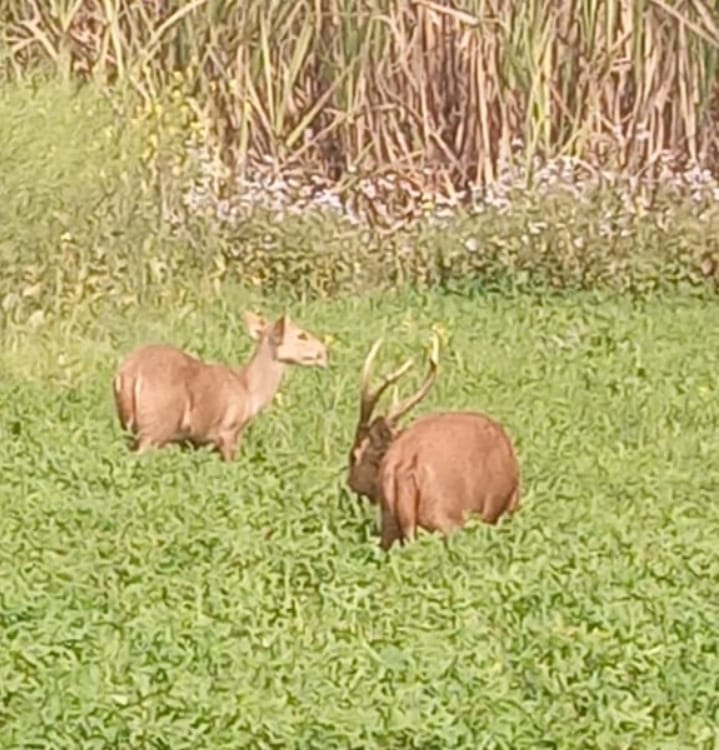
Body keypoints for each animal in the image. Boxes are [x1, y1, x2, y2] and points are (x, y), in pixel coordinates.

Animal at [113, 312, 328, 461]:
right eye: (302, 335)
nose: (324, 352)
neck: (249, 392)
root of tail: (130, 373)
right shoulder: (228, 431)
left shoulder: (193, 440)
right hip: (156, 424)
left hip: (128, 423)